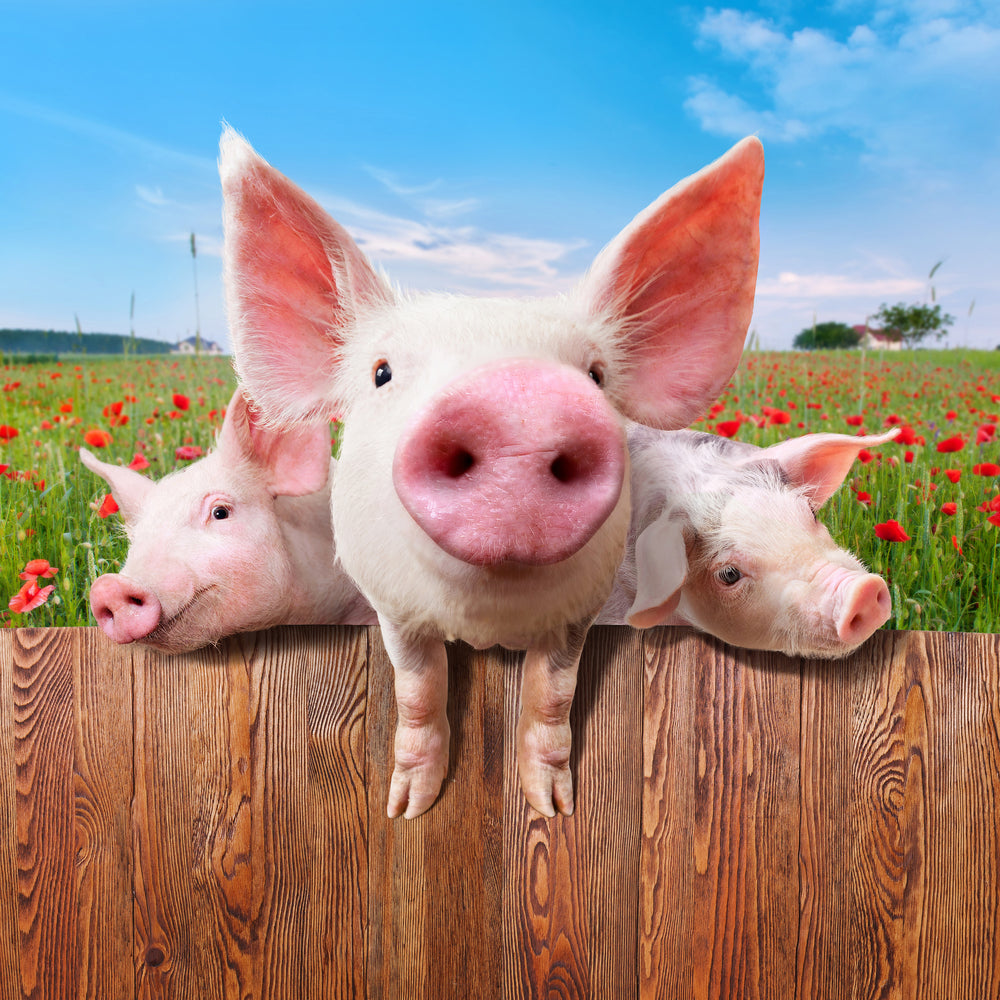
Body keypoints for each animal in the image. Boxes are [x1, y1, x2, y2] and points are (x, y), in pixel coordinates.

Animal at [219, 128, 764, 818]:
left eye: (595, 375)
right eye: (381, 372)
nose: (516, 397)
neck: (485, 622)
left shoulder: (580, 613)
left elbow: (552, 696)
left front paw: (553, 808)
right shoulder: (392, 607)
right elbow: (417, 692)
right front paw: (407, 809)